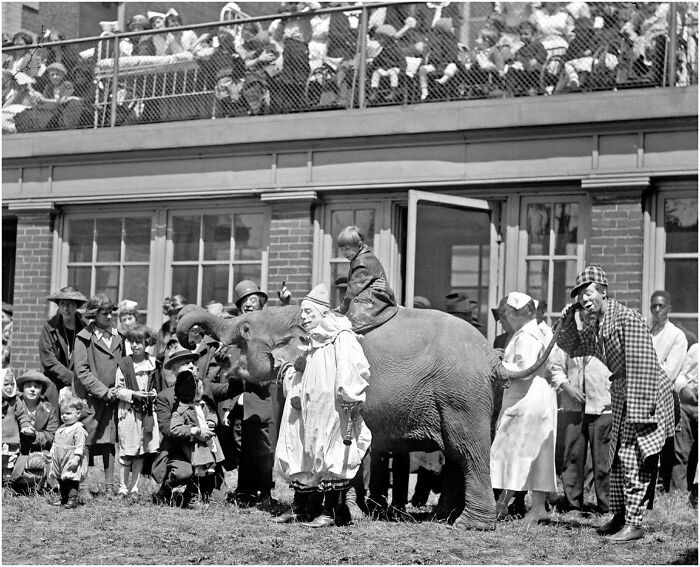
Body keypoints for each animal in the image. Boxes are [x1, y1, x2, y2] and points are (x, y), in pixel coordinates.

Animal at [178, 304, 556, 532]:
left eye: (244, 328)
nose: (202, 349)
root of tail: (494, 358)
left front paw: (340, 516)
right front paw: (309, 514)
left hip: (463, 395)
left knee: (467, 452)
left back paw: (467, 524)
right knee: (454, 454)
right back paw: (443, 515)